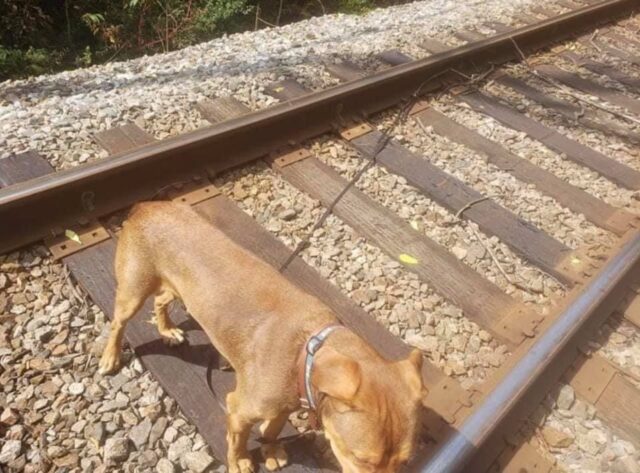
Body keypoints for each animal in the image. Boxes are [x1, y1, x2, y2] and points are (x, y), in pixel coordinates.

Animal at [100, 201, 428, 470]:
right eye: (361, 458)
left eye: (404, 461)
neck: (307, 349)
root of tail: (146, 206)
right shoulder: (237, 408)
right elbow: (237, 442)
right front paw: (241, 461)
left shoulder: (286, 403)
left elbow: (272, 428)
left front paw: (270, 450)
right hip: (133, 291)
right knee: (118, 323)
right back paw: (110, 357)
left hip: (176, 288)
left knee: (160, 301)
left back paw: (167, 329)